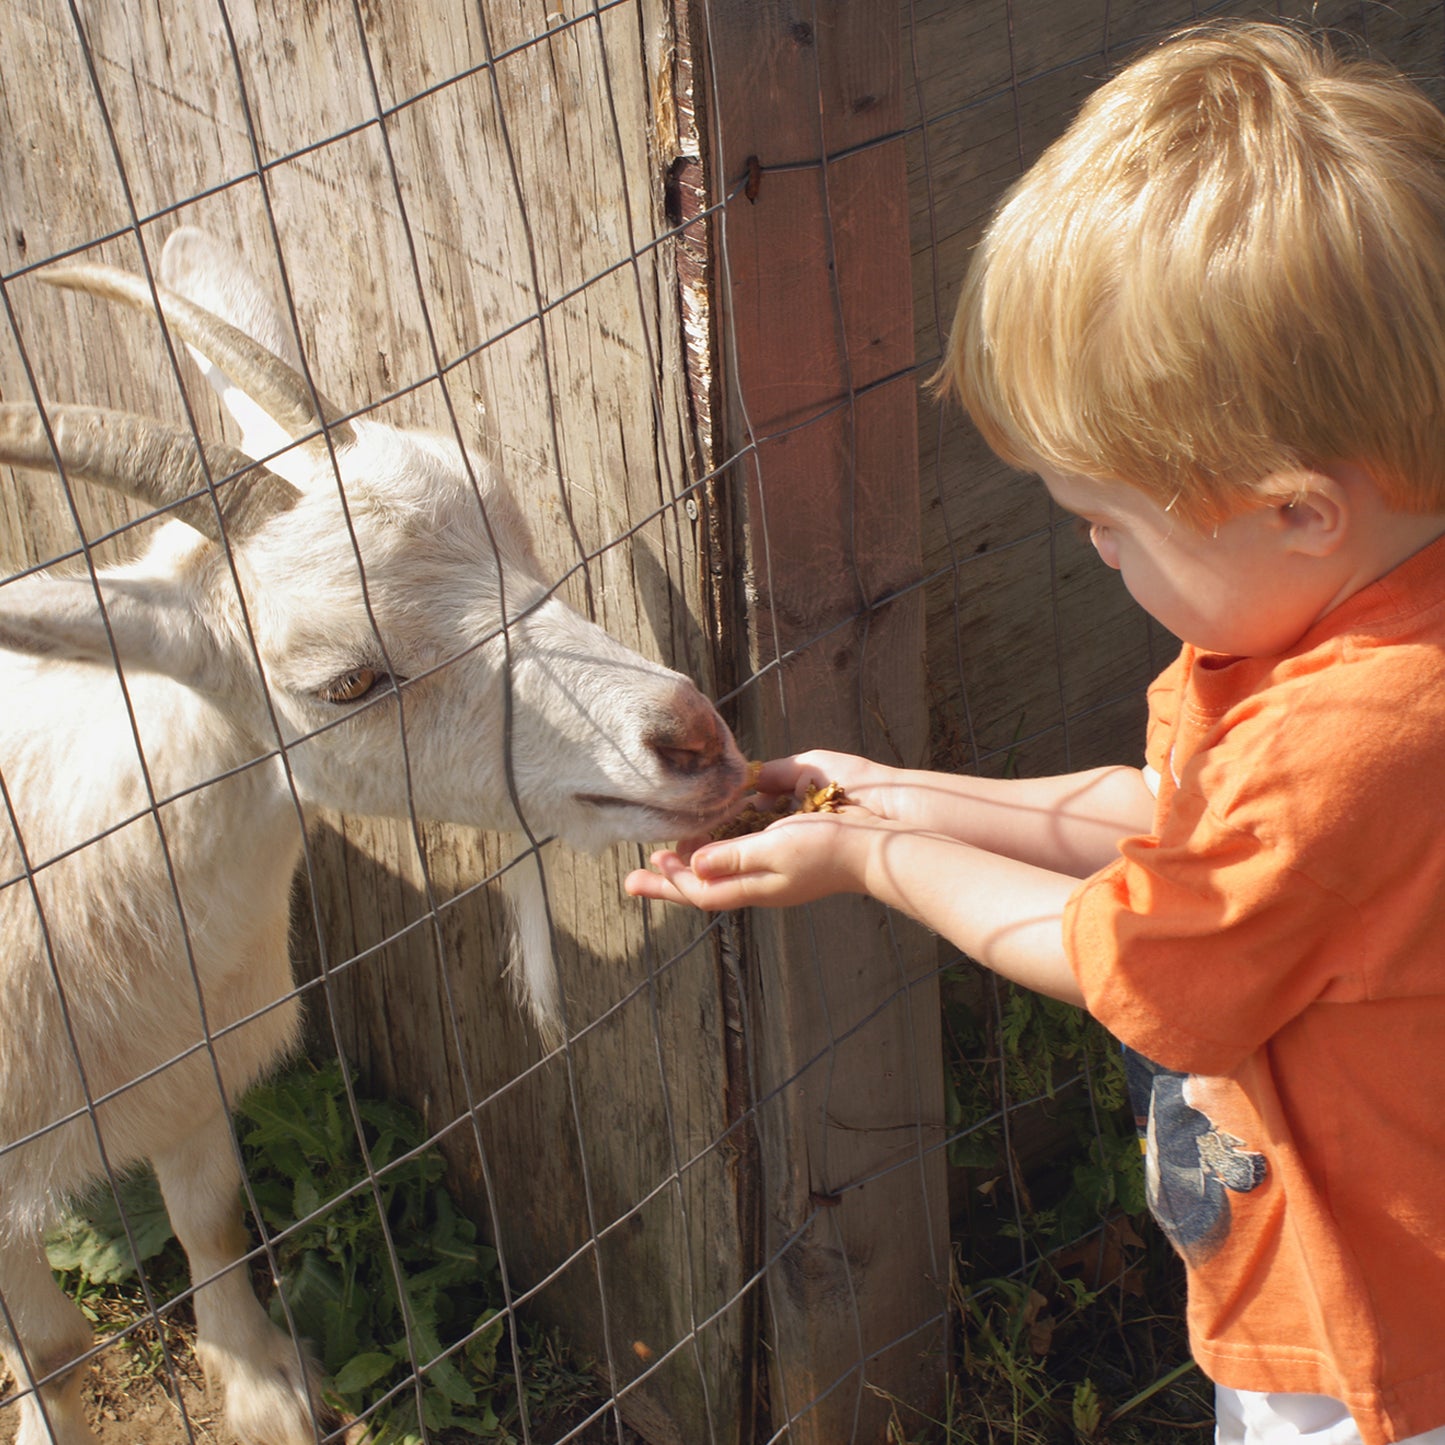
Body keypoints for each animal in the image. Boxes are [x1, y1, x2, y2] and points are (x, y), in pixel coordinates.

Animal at [0, 228, 745, 1445]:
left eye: (510, 530)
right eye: (345, 682)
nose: (690, 737)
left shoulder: (191, 1058)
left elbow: (209, 1217)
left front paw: (263, 1385)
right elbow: (54, 1350)